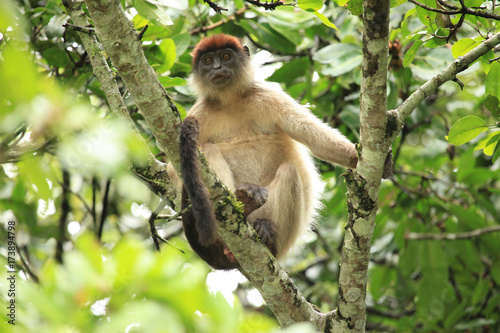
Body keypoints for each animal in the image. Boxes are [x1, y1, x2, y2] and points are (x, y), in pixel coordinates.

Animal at [172, 32, 360, 268]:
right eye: (207, 61)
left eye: (225, 56)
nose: (216, 67)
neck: (231, 101)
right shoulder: (199, 112)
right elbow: (172, 169)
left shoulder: (267, 95)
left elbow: (313, 136)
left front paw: (356, 158)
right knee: (207, 149)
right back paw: (240, 209)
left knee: (289, 171)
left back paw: (265, 234)